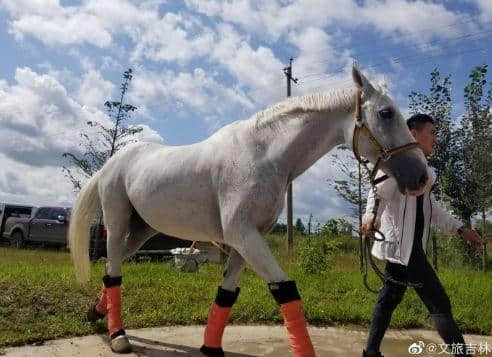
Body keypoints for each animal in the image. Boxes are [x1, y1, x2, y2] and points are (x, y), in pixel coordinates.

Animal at [67, 67, 428, 356]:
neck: (263, 154)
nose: (421, 178)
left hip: (143, 230)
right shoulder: (243, 235)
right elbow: (285, 290)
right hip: (117, 222)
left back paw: (95, 315)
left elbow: (226, 294)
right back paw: (118, 335)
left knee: (112, 265)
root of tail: (113, 163)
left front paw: (210, 348)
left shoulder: (246, 240)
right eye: (386, 113)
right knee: (113, 270)